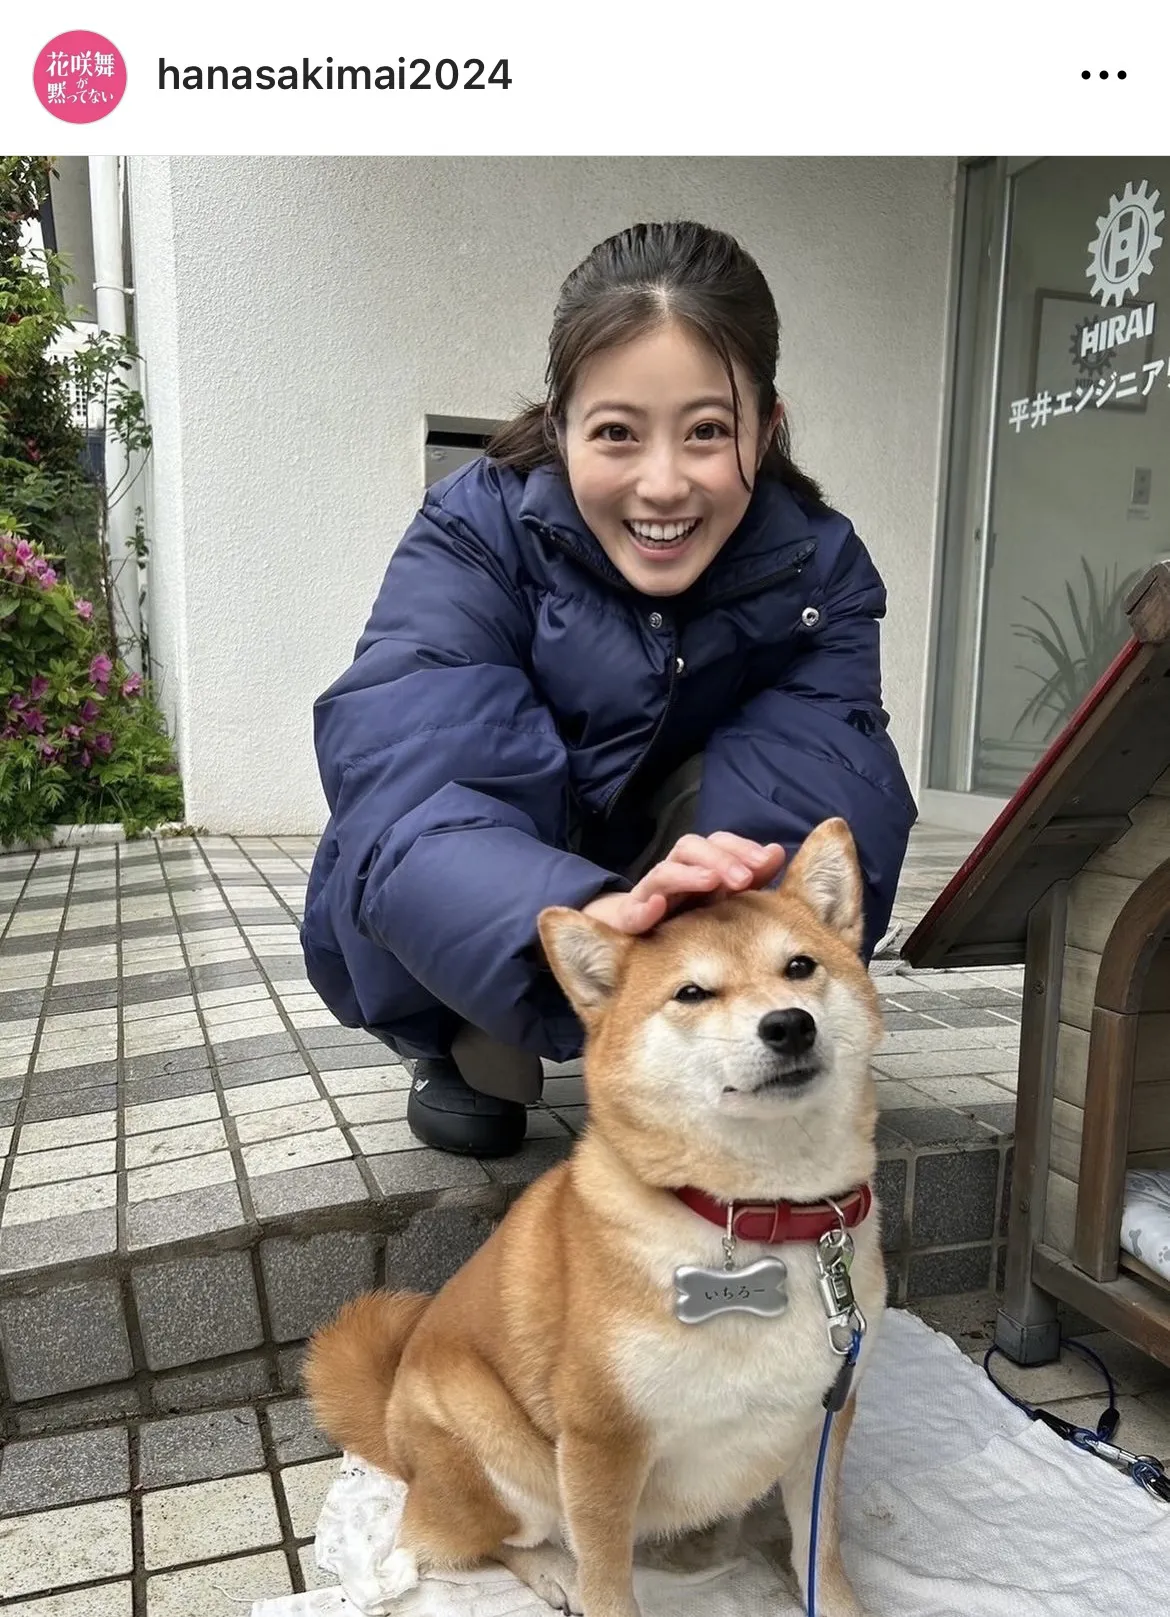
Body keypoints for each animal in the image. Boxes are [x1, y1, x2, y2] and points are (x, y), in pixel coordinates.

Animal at [305, 821, 879, 1617]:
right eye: (692, 992)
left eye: (801, 967)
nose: (789, 1024)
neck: (763, 1212)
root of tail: (394, 1429)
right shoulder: (601, 1440)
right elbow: (609, 1578)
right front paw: (590, 1581)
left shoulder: (826, 1414)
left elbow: (821, 1550)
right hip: (503, 1455)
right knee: (454, 1541)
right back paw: (552, 1569)